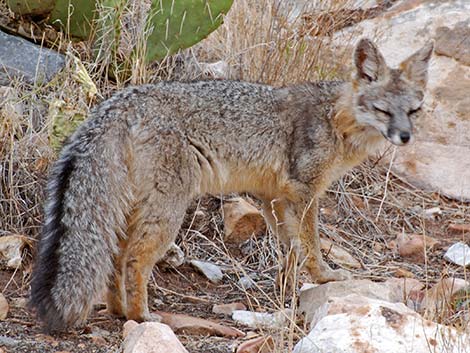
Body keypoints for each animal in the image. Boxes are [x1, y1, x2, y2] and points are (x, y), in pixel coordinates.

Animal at [29, 39, 434, 330]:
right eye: (383, 111)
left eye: (413, 111)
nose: (404, 137)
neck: (336, 117)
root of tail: (120, 101)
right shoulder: (304, 193)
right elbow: (311, 247)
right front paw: (324, 277)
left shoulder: (273, 198)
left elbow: (289, 249)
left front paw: (285, 289)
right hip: (168, 212)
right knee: (134, 259)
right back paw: (142, 316)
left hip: (135, 209)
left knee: (114, 257)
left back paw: (119, 311)